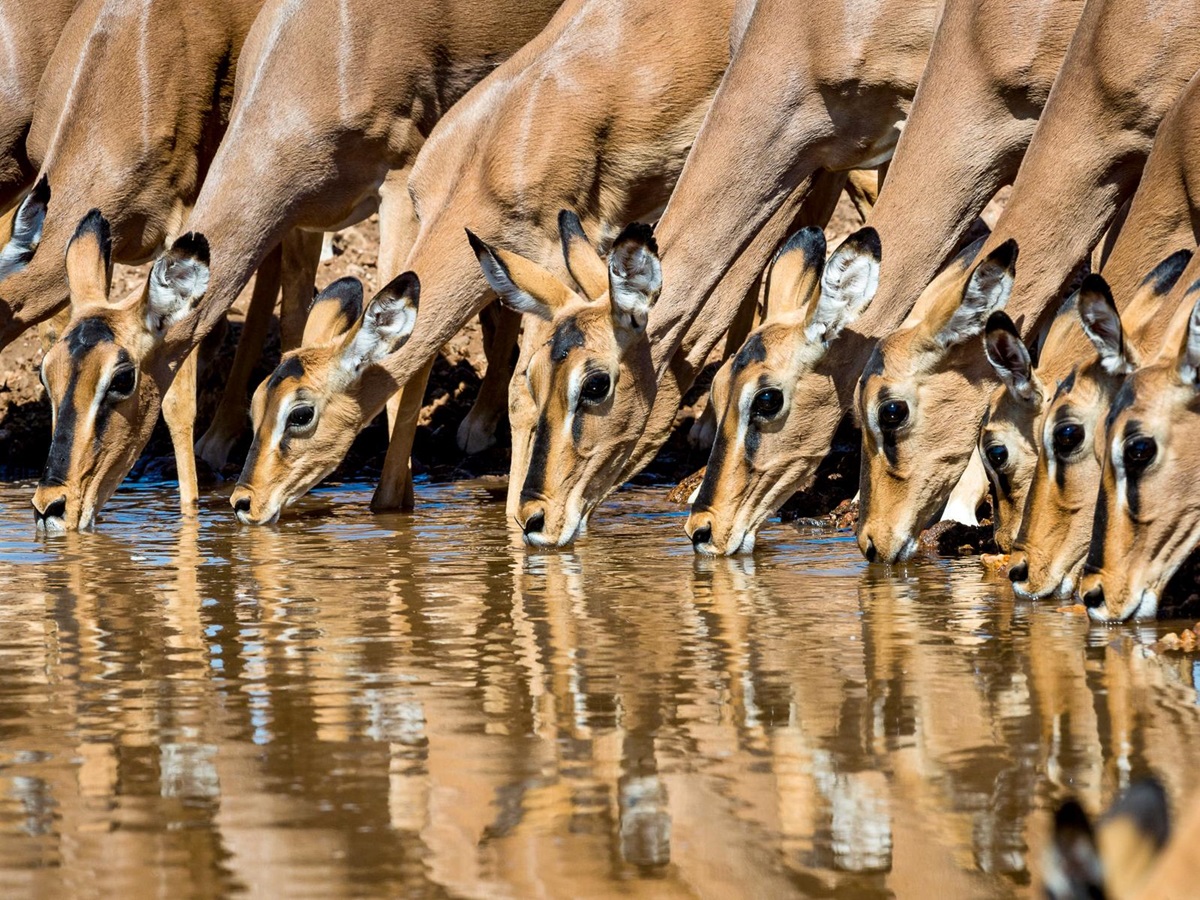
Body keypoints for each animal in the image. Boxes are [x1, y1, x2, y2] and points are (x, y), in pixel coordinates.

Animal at [31, 0, 563, 530]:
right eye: (46, 373)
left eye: (121, 379)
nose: (50, 505)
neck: (326, 52)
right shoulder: (304, 213)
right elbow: (296, 326)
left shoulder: (401, 187)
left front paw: (392, 504)